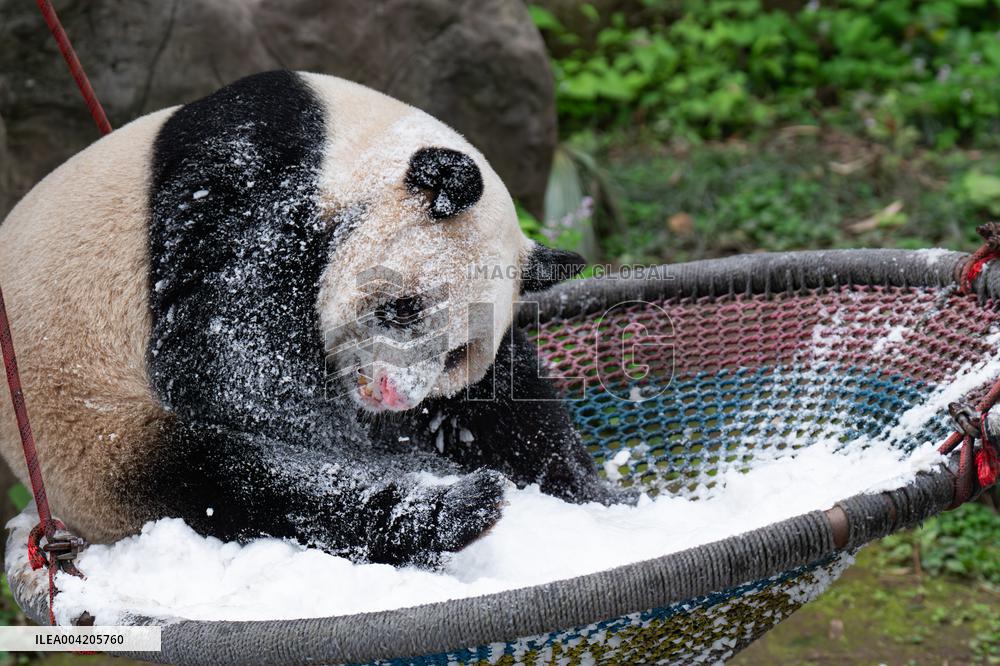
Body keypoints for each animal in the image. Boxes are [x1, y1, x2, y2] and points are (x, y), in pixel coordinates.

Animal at [0, 71, 626, 567]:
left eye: (456, 355)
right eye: (404, 308)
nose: (392, 395)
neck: (346, 146)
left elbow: (504, 396)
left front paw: (589, 488)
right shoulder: (241, 184)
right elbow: (233, 368)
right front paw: (408, 457)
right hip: (92, 431)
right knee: (240, 484)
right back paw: (450, 509)